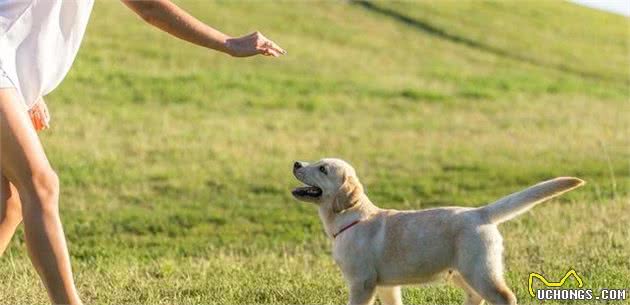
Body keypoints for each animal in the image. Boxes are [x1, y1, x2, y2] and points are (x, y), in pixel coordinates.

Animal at [292, 158, 588, 302]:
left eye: (322, 168)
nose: (296, 164)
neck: (351, 218)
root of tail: (481, 212)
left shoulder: (361, 283)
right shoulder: (387, 286)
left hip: (480, 269)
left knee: (504, 297)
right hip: (462, 273)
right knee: (477, 297)